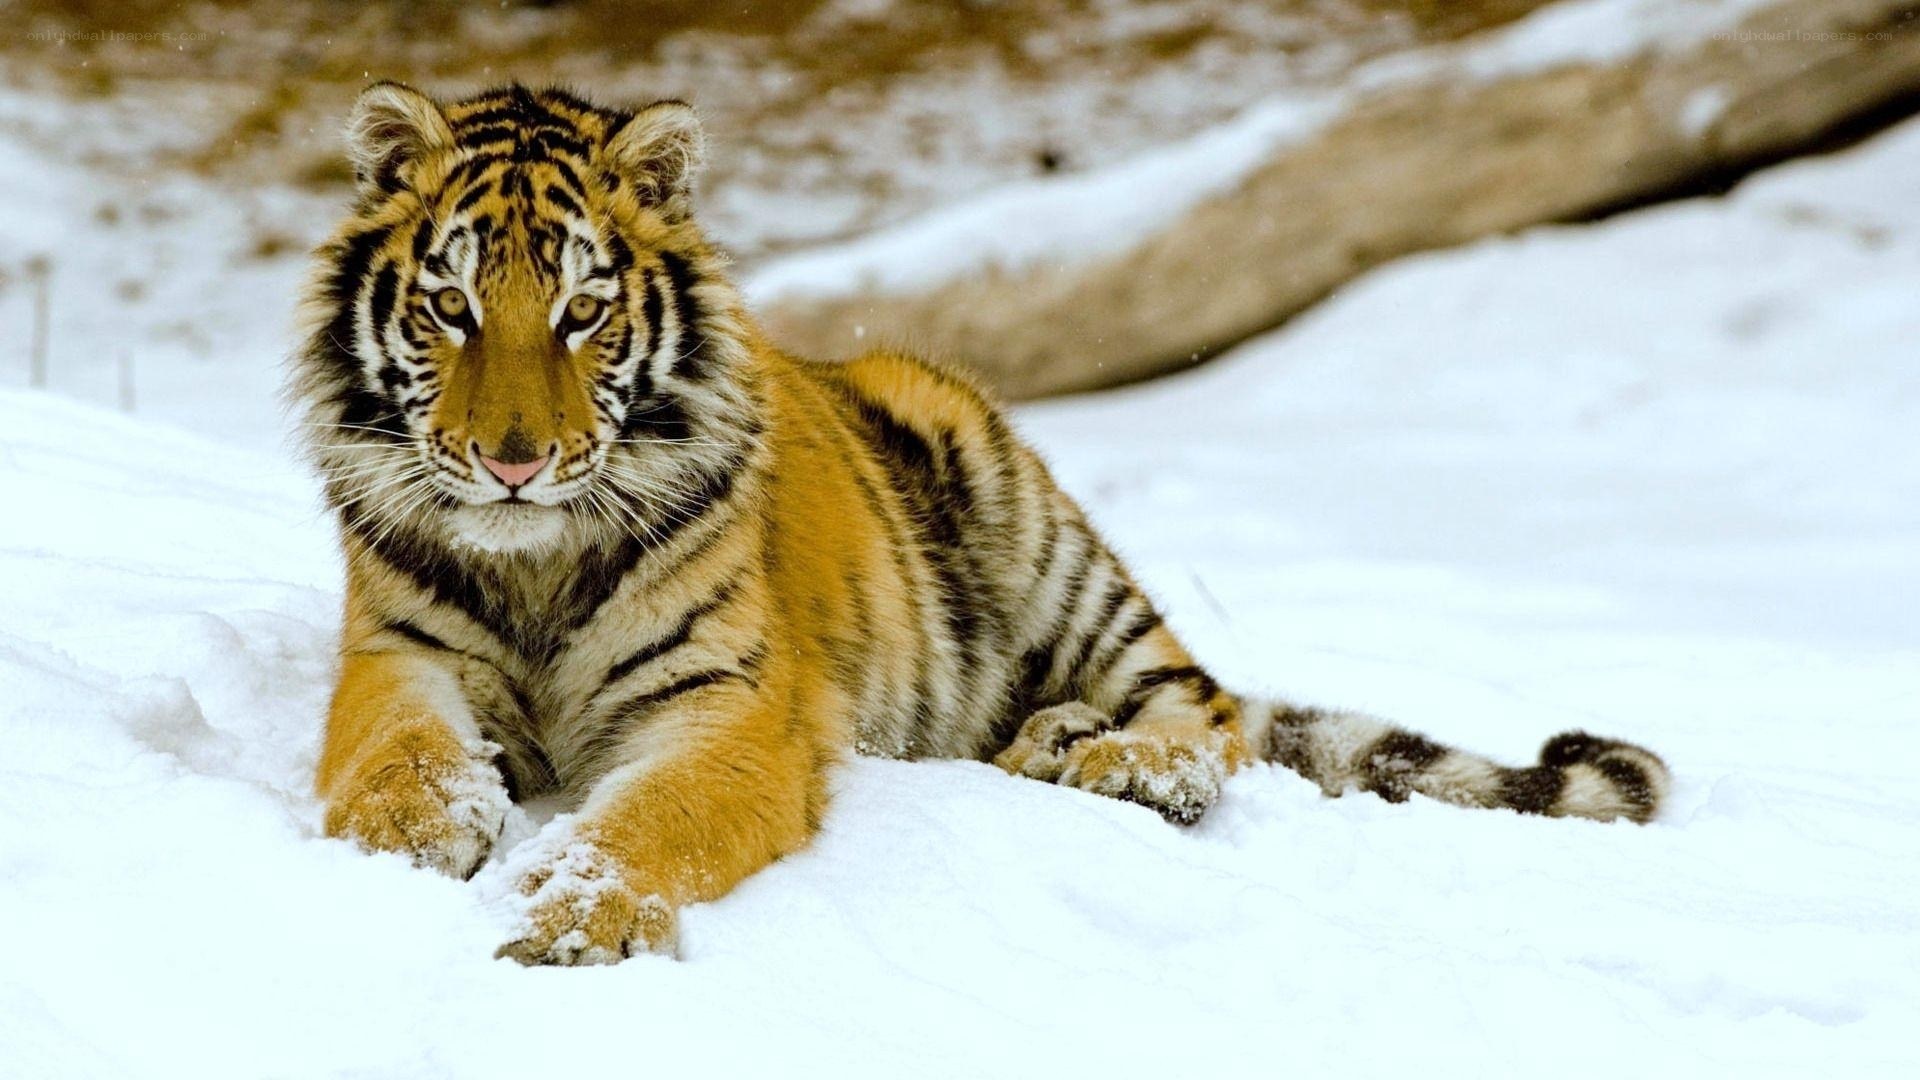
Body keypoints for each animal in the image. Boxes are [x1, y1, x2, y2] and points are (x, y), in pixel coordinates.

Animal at [292, 82, 1670, 967]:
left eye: (582, 312)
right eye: (452, 308)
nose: (513, 462)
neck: (535, 561)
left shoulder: (732, 707)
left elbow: (651, 818)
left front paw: (573, 914)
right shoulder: (398, 655)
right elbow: (396, 755)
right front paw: (409, 842)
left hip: (1036, 527)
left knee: (1207, 712)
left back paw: (1121, 762)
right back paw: (1052, 743)